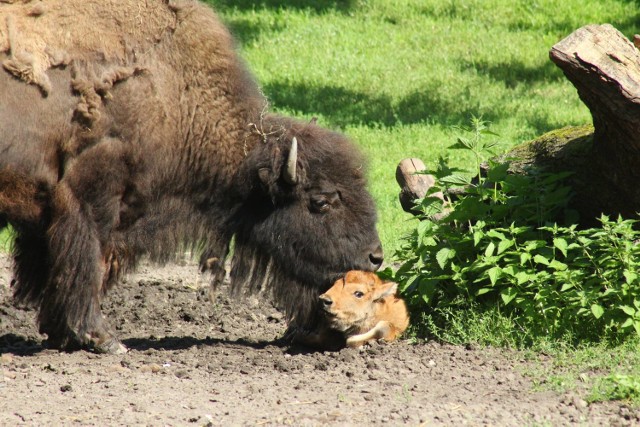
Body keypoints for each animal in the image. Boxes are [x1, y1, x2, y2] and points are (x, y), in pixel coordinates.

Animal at [0, 0, 382, 354]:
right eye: (322, 202)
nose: (374, 257)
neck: (171, 92)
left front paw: (61, 333)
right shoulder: (89, 199)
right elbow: (87, 261)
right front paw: (103, 339)